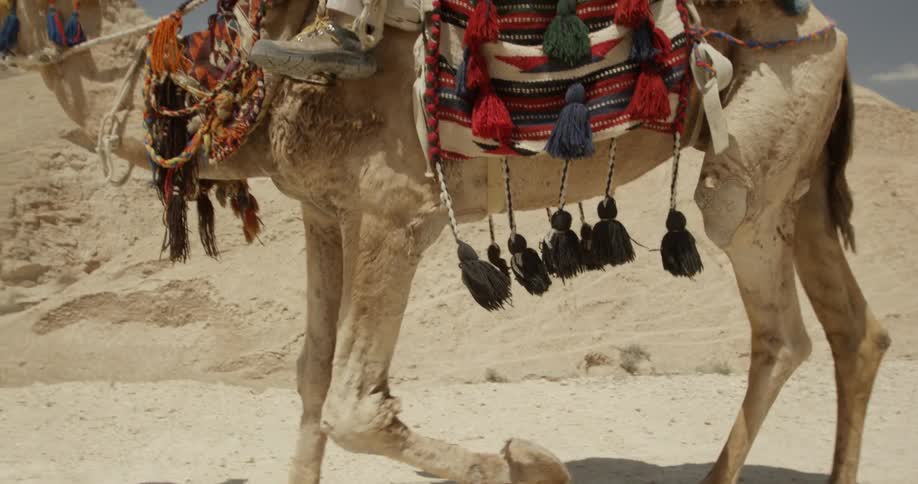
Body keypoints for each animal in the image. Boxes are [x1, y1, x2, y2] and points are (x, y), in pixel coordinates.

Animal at [6, 0, 891, 483]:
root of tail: (838, 36)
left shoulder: (396, 211)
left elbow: (353, 406)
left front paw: (534, 462)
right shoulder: (326, 214)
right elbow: (310, 379)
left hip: (759, 143)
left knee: (775, 316)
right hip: (800, 171)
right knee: (857, 332)